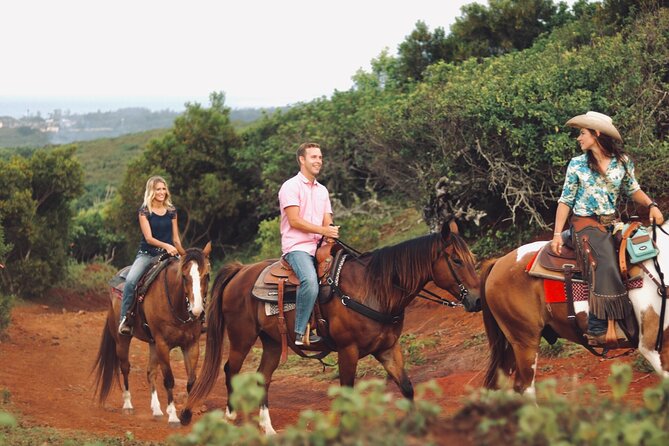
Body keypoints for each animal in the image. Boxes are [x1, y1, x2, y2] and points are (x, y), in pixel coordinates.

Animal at [92, 244, 210, 426]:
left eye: (207, 276)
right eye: (184, 276)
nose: (197, 311)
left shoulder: (191, 345)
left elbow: (191, 380)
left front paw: (186, 415)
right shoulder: (163, 344)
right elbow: (168, 379)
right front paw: (174, 416)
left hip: (152, 343)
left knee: (150, 372)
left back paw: (156, 410)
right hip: (122, 339)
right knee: (125, 367)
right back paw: (128, 405)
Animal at [179, 223, 480, 432]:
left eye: (472, 258)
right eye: (456, 260)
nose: (477, 300)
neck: (374, 289)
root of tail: (240, 271)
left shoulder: (388, 349)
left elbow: (406, 387)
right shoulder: (348, 350)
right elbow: (347, 393)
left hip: (273, 342)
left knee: (263, 376)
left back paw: (268, 428)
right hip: (242, 337)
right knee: (231, 369)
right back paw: (230, 416)